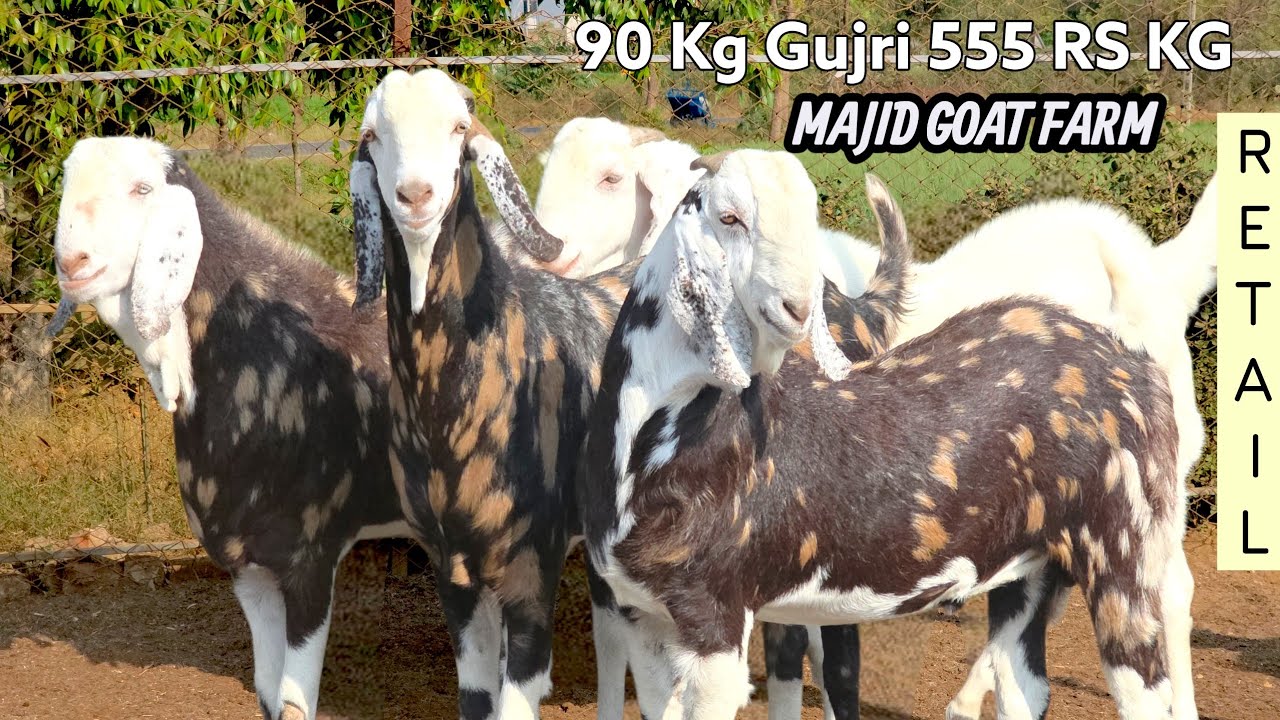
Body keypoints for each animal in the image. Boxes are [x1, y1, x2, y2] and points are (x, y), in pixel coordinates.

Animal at [48, 136, 411, 720]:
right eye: (65, 181)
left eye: (143, 188)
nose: (72, 261)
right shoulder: (249, 567)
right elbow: (267, 694)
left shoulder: (311, 557)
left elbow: (295, 702)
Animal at [346, 68, 911, 720]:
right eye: (372, 135)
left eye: (458, 128)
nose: (415, 197)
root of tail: (847, 305)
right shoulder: (455, 572)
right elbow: (481, 696)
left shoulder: (531, 563)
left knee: (836, 655)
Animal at [537, 115, 1217, 717]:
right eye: (727, 216)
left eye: (810, 220)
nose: (797, 305)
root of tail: (1134, 358)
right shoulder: (644, 616)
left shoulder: (716, 618)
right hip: (1030, 569)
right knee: (1024, 688)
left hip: (1125, 554)